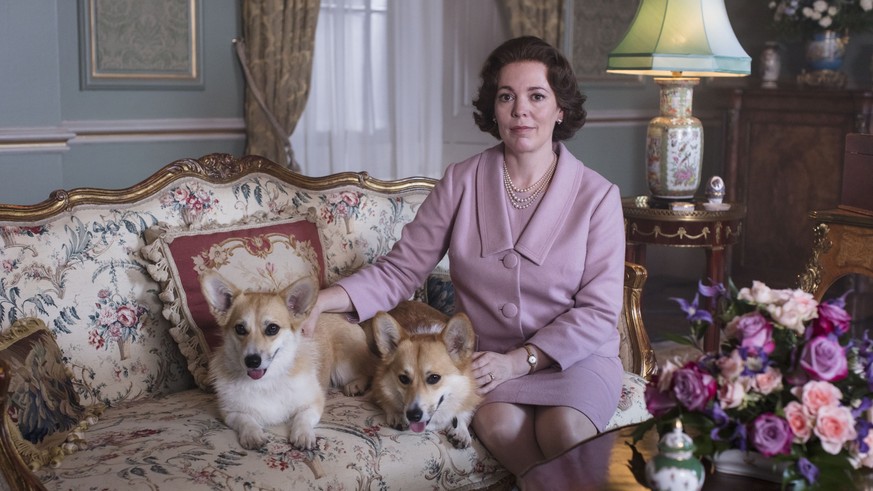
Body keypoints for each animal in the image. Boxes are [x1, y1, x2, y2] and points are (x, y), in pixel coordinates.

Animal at [201, 270, 374, 452]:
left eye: (272, 328)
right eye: (240, 328)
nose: (252, 361)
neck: (266, 381)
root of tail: (342, 315)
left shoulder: (314, 403)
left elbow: (302, 418)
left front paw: (303, 434)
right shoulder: (229, 412)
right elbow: (245, 420)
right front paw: (252, 434)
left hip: (344, 367)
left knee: (368, 371)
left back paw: (356, 384)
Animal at [364, 302, 480, 448]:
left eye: (434, 378)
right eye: (403, 378)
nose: (413, 416)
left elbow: (464, 407)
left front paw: (460, 429)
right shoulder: (377, 386)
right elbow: (385, 399)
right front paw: (397, 414)